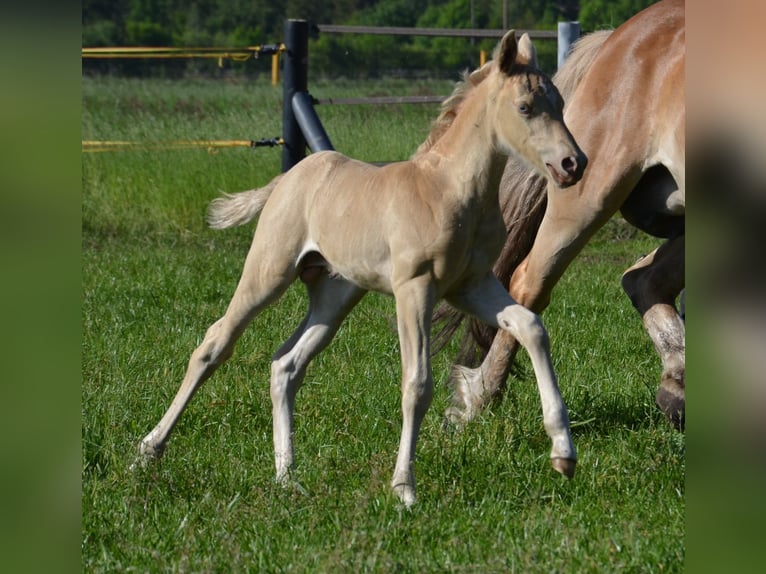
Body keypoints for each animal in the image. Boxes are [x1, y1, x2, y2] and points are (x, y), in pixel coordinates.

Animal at [134, 31, 588, 508]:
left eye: (559, 102)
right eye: (525, 107)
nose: (573, 163)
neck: (448, 191)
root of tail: (288, 178)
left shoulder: (471, 285)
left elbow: (530, 326)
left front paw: (564, 453)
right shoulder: (415, 288)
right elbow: (417, 383)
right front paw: (404, 488)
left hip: (335, 297)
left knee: (286, 365)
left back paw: (286, 476)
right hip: (268, 273)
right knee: (214, 344)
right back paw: (148, 451)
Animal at [440, 0, 688, 432]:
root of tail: (618, 36)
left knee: (644, 279)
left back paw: (677, 390)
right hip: (589, 196)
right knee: (529, 284)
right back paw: (478, 398)